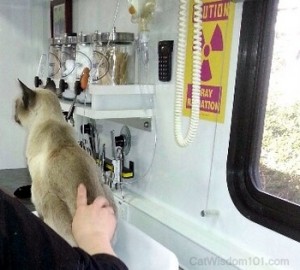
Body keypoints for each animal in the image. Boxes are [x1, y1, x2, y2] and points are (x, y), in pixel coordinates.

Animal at [14, 80, 116, 247]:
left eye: (16, 105)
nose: (14, 115)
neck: (51, 119)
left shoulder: (36, 186)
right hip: (106, 188)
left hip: (48, 198)